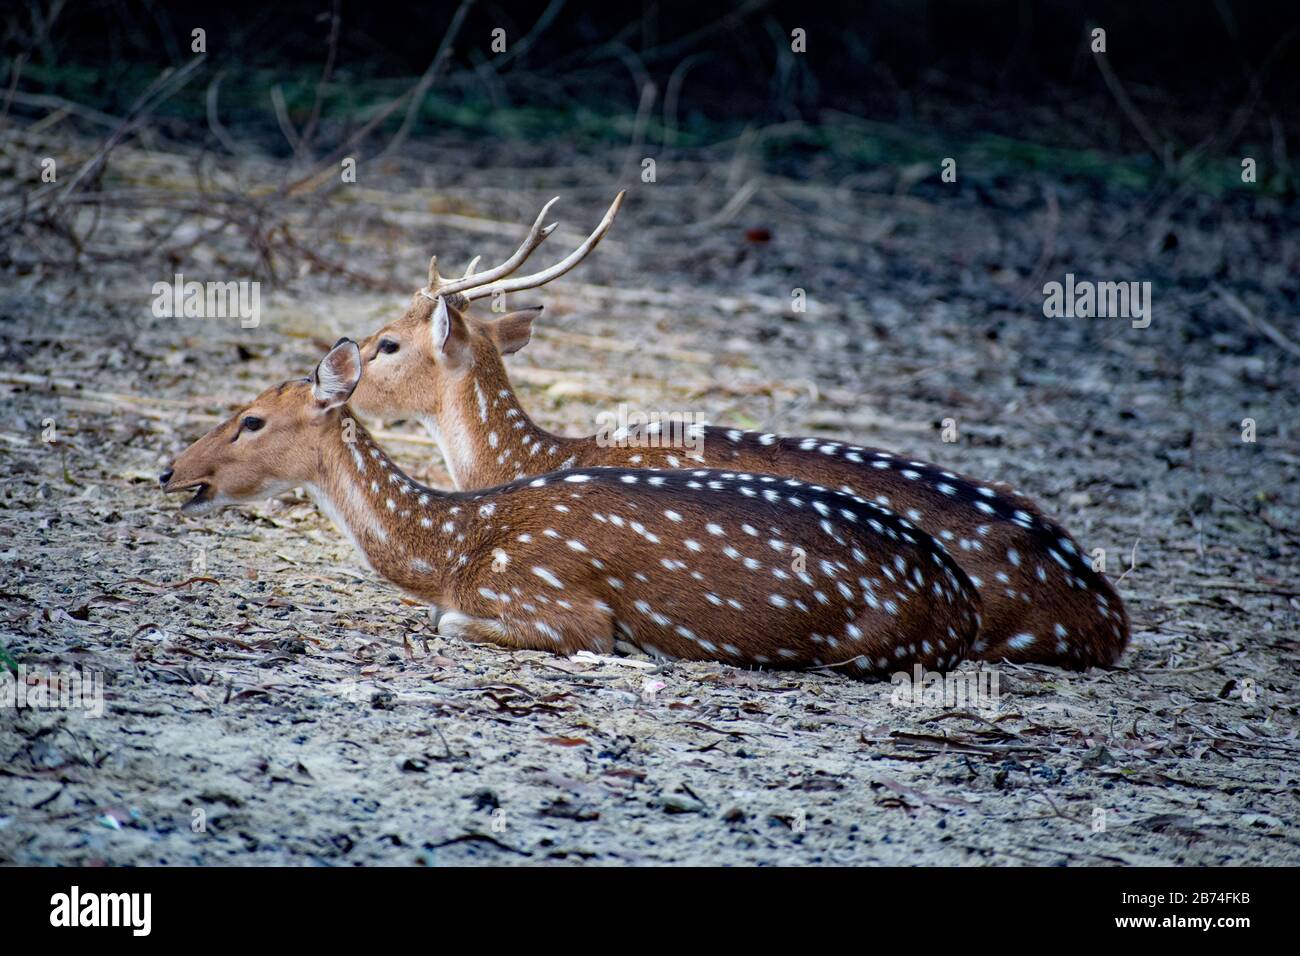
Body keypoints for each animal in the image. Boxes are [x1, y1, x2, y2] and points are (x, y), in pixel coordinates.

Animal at [157, 340, 977, 676]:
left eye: (251, 420)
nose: (168, 471)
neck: (455, 546)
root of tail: (962, 603)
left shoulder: (556, 605)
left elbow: (453, 624)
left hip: (873, 645)